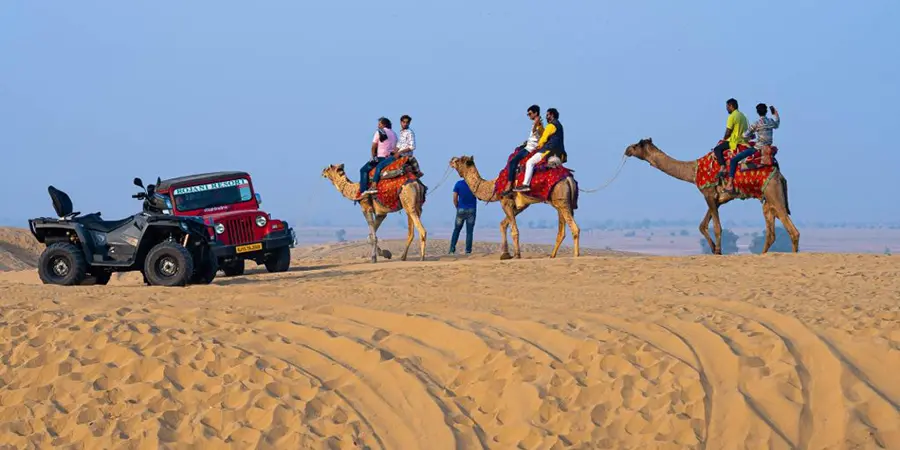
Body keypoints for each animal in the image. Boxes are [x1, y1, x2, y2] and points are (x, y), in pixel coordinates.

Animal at [448, 155, 580, 259]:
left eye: (459, 160)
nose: (451, 160)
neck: (494, 186)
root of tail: (569, 178)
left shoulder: (505, 201)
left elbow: (514, 230)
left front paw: (517, 255)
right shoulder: (521, 205)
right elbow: (503, 224)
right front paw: (505, 254)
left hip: (561, 200)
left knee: (575, 228)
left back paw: (576, 255)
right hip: (562, 202)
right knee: (561, 230)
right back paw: (552, 255)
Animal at [624, 138, 799, 254]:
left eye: (636, 145)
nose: (627, 149)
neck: (693, 171)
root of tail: (780, 176)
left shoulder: (708, 193)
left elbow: (716, 227)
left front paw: (719, 251)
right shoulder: (717, 199)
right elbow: (702, 225)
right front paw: (714, 249)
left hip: (773, 192)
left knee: (792, 229)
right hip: (767, 200)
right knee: (771, 233)